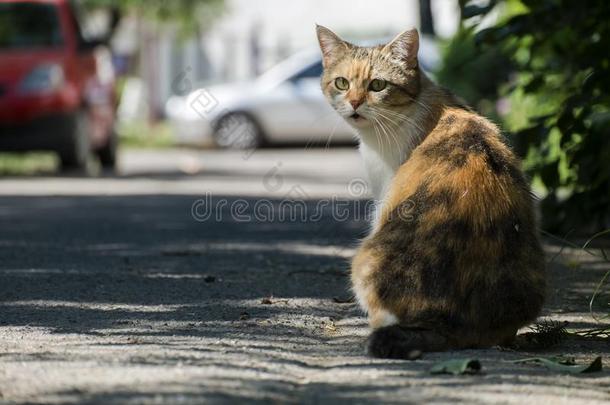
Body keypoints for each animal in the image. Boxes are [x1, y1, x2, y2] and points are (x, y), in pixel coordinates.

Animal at [316, 25, 544, 358]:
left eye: (378, 85)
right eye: (342, 83)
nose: (355, 103)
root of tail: (461, 324)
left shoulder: (384, 193)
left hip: (366, 258)